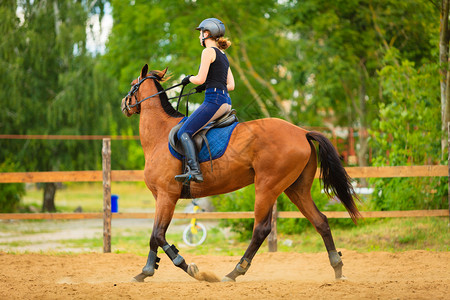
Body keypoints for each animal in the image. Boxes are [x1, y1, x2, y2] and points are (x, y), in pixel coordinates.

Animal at [121, 64, 360, 282]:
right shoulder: (161, 197)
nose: (124, 105)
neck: (160, 135)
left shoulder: (167, 195)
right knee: (321, 221)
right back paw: (337, 269)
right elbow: (155, 235)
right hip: (296, 189)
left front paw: (188, 269)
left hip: (266, 187)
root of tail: (302, 132)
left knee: (261, 229)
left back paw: (235, 272)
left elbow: (158, 235)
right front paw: (147, 271)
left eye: (133, 85)